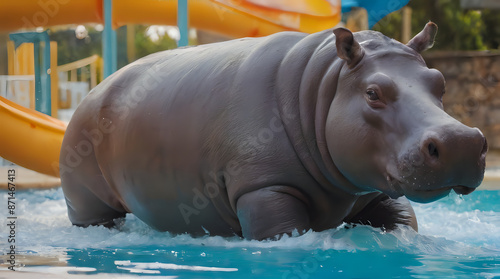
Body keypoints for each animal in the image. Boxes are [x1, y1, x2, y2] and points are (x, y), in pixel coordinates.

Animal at [57, 22, 484, 241]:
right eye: (372, 92)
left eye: (440, 81)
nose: (461, 142)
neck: (323, 87)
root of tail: (93, 90)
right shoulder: (264, 188)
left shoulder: (375, 188)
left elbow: (403, 222)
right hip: (86, 198)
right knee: (95, 217)